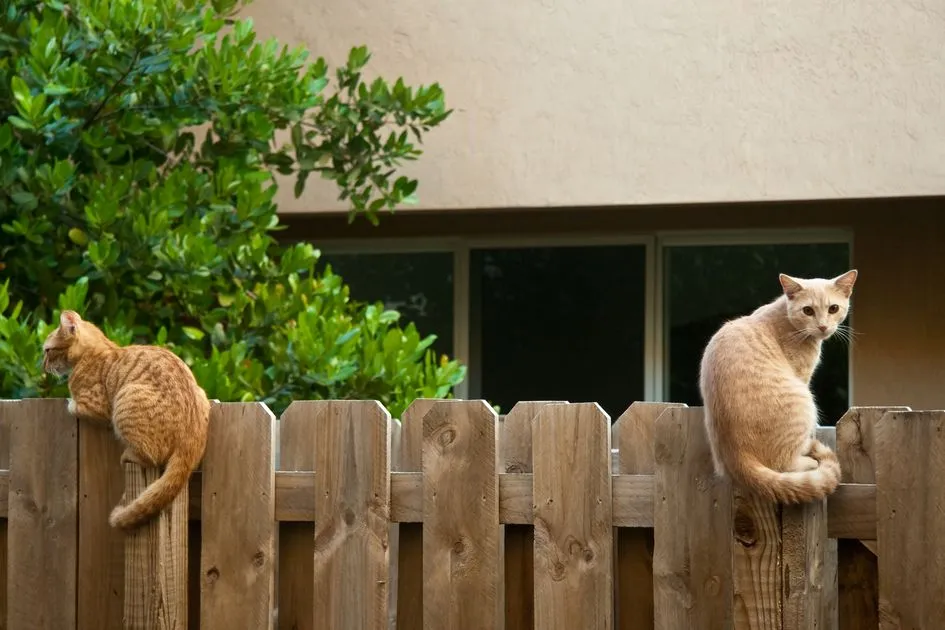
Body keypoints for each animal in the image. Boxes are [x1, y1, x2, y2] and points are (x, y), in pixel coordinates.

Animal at [42, 314, 208, 532]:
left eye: (48, 350)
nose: (43, 365)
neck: (98, 350)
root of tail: (191, 438)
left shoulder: (92, 405)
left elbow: (72, 405)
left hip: (125, 401)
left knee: (150, 456)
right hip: (202, 395)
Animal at [692, 270, 856, 504]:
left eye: (833, 308)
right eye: (808, 310)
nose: (823, 326)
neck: (785, 318)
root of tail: (738, 457)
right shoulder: (802, 375)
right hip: (804, 401)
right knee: (784, 464)